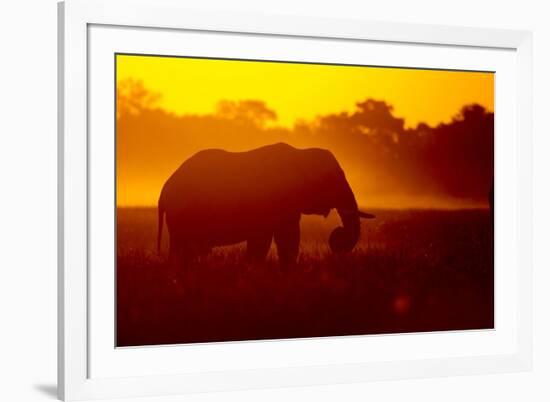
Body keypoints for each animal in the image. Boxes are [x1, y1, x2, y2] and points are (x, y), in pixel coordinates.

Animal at [157, 143, 378, 266]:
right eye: (335, 180)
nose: (337, 238)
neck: (301, 155)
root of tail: (164, 190)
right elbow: (279, 238)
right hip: (183, 216)